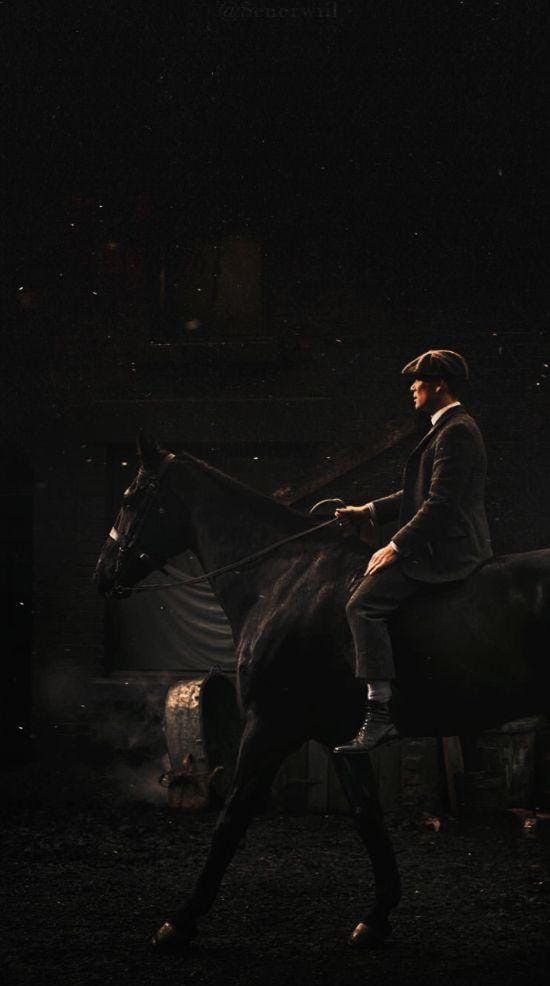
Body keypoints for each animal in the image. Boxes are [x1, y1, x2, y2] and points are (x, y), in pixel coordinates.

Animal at [95, 434, 550, 948]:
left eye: (131, 497)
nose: (101, 573)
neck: (280, 580)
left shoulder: (269, 725)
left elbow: (231, 818)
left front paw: (181, 921)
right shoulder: (338, 738)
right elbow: (368, 816)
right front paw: (376, 917)